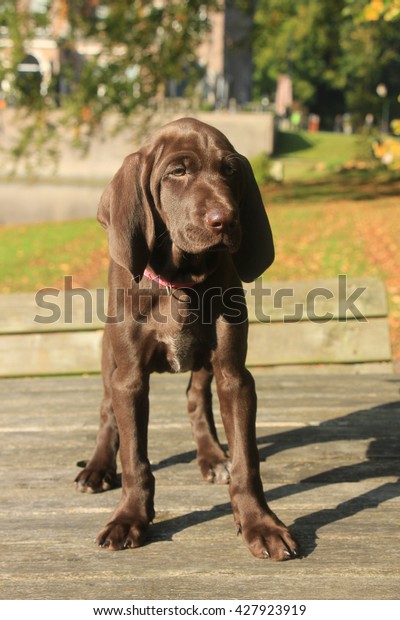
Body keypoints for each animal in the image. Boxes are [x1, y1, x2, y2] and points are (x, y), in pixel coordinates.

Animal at [76, 117, 298, 560]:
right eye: (177, 172)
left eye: (230, 172)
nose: (225, 220)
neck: (180, 279)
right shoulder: (130, 379)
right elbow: (135, 458)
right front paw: (129, 516)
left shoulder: (234, 376)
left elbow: (247, 461)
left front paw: (259, 522)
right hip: (111, 358)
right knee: (107, 410)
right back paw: (97, 466)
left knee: (197, 400)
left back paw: (213, 456)